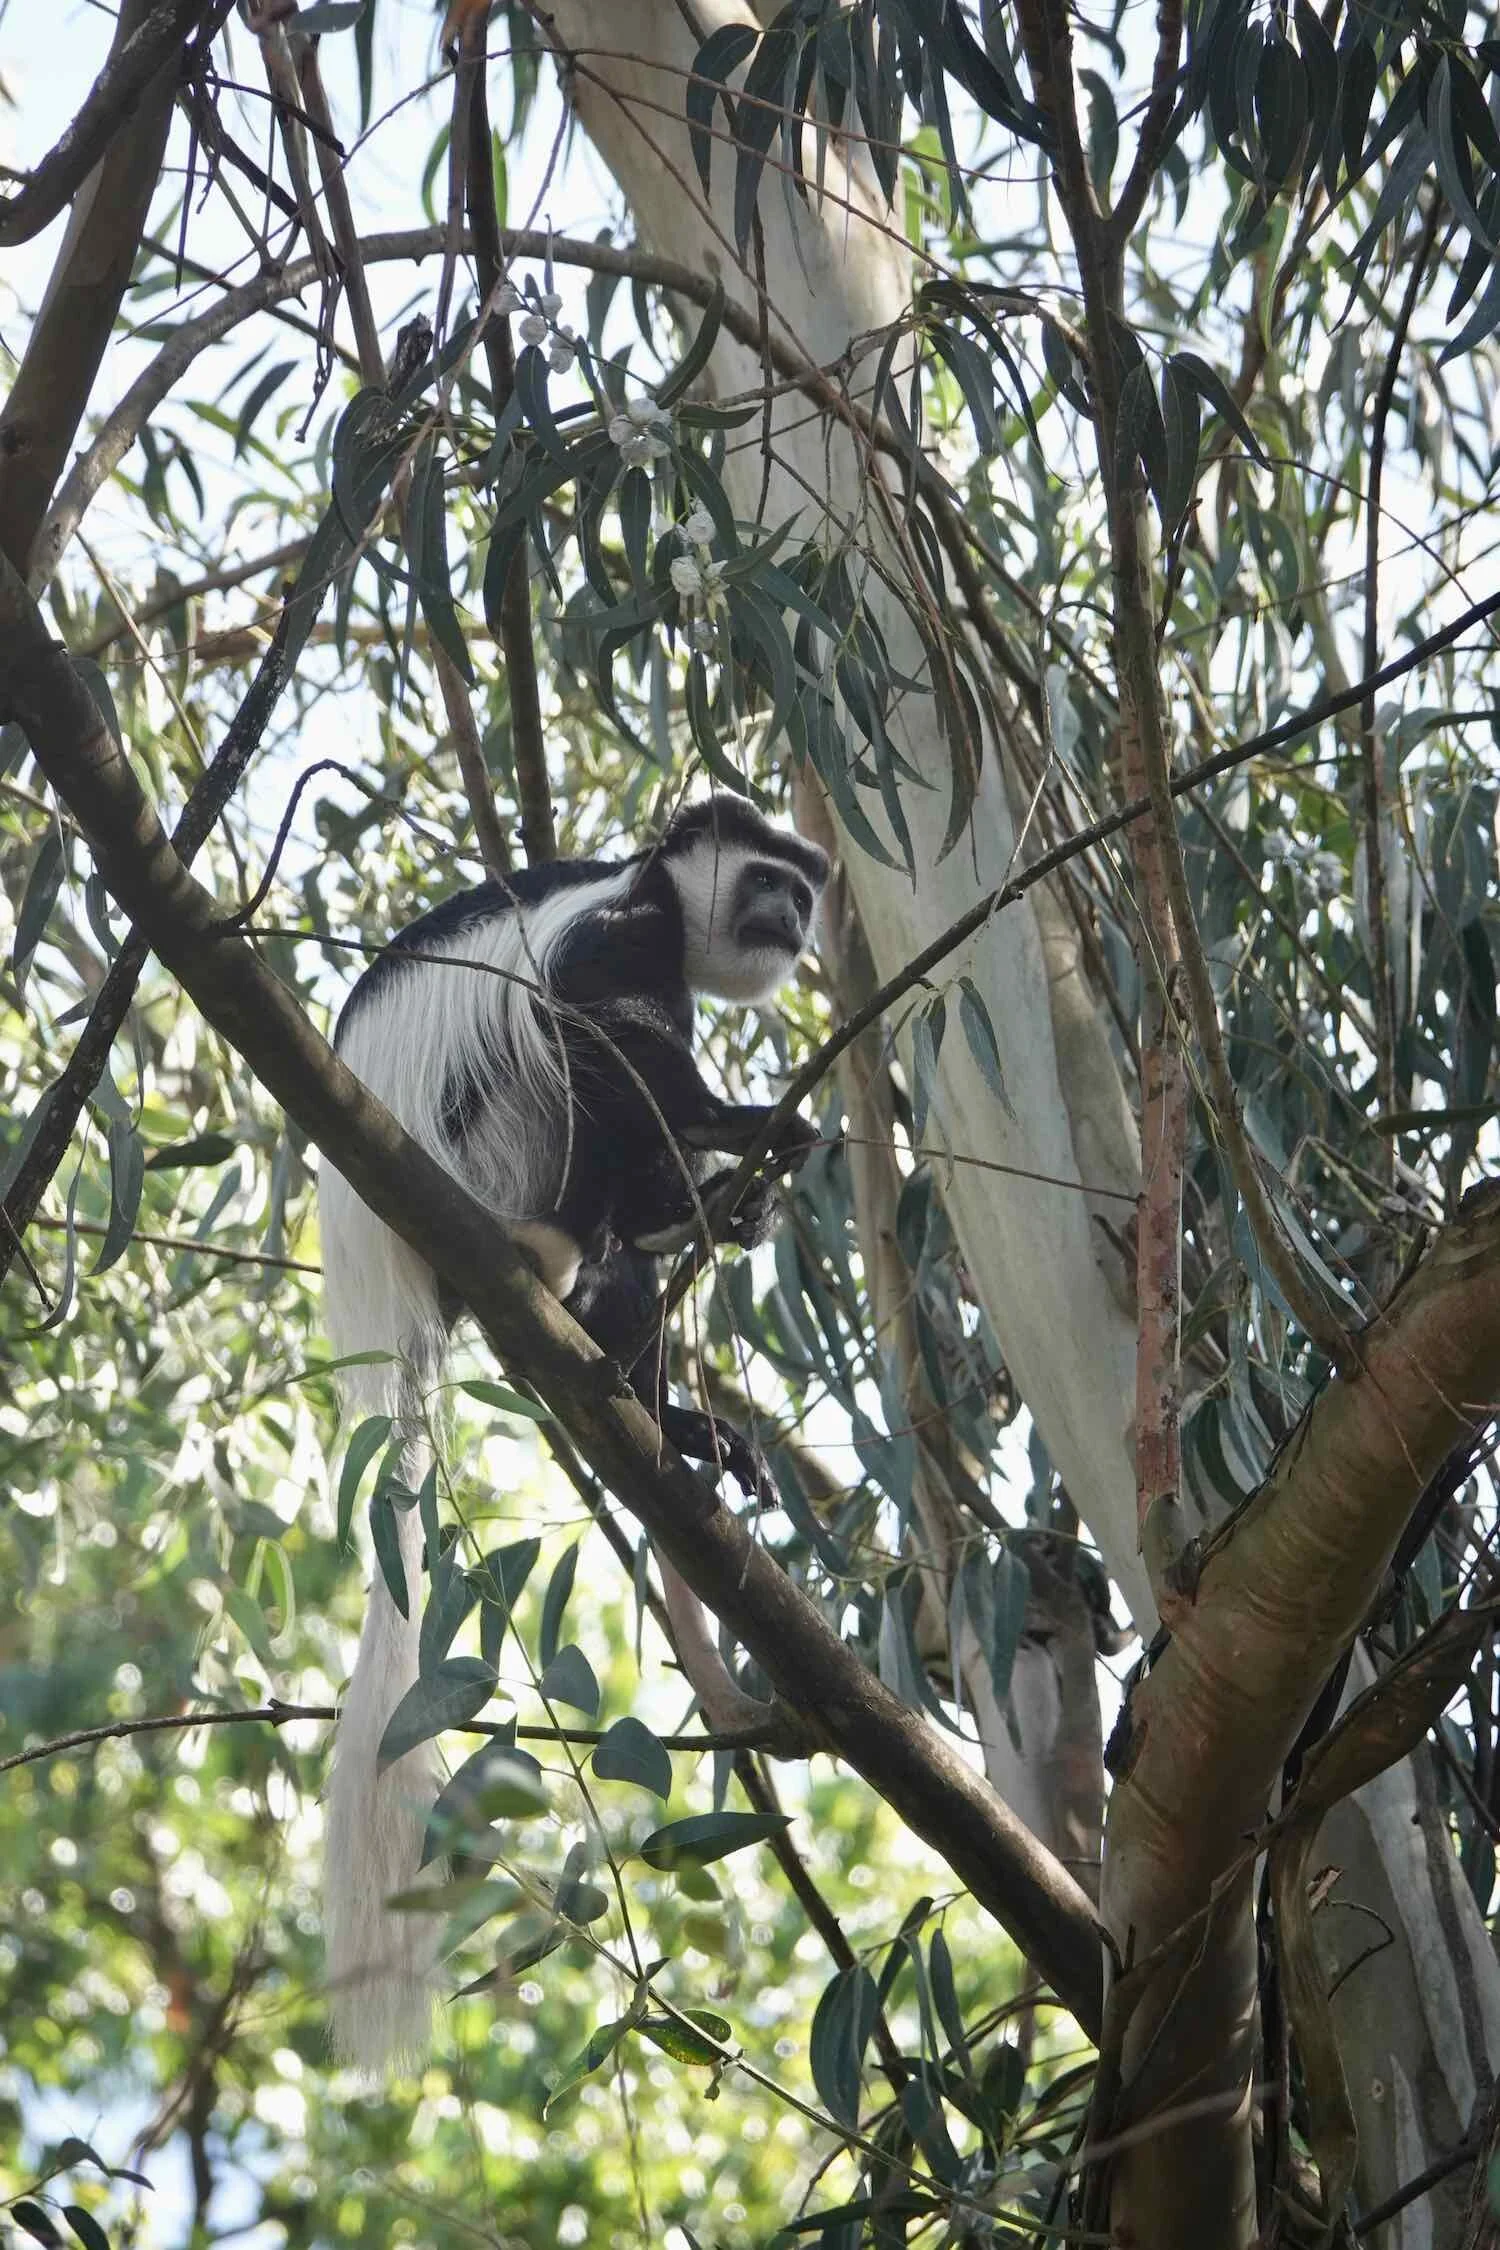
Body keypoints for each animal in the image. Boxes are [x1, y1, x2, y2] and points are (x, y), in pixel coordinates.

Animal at [317, 797, 830, 2071]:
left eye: (800, 891)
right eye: (765, 878)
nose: (792, 917)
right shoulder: (619, 931)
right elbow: (602, 1028)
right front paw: (750, 1128)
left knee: (623, 1273)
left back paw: (675, 1396)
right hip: (498, 1156)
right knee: (582, 1080)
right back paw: (637, 1220)